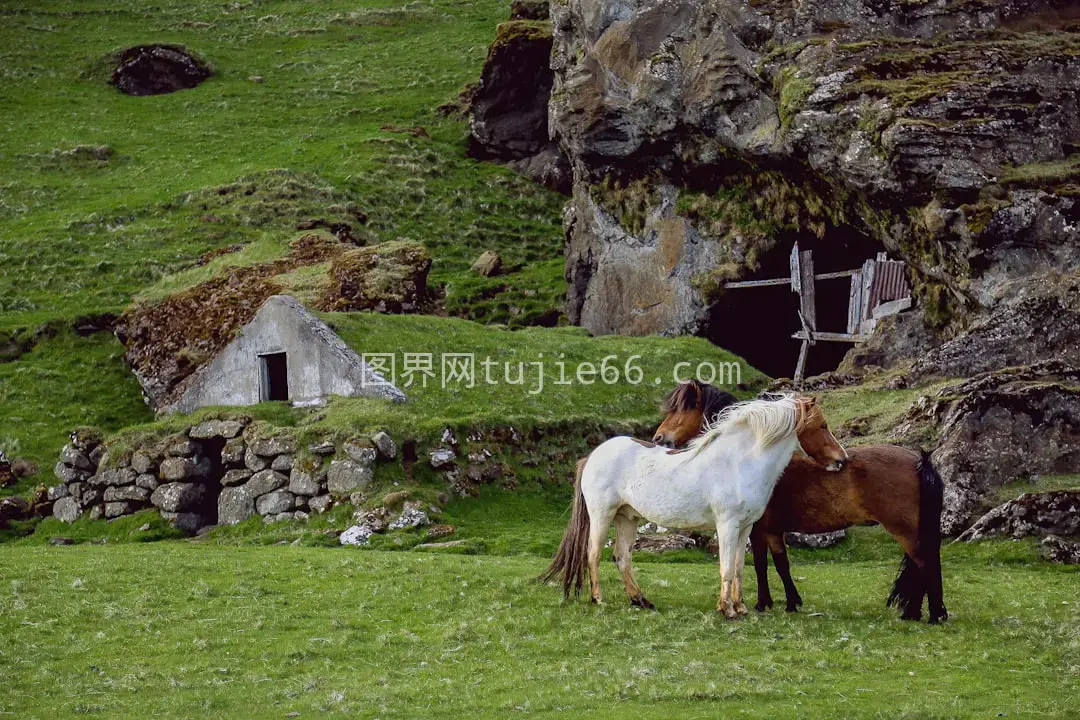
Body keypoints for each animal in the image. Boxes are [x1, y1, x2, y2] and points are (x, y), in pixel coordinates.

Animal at [540, 390, 842, 617]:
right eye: (822, 426)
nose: (842, 459)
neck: (740, 463)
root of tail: (592, 456)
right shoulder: (727, 525)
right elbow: (726, 567)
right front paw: (727, 610)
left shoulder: (745, 528)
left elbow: (739, 568)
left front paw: (741, 608)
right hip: (602, 516)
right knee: (593, 554)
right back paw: (598, 599)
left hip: (628, 518)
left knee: (622, 557)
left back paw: (641, 601)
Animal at [648, 382, 946, 626]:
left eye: (684, 408)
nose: (658, 438)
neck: (750, 459)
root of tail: (920, 461)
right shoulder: (772, 531)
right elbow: (781, 563)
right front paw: (791, 603)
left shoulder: (757, 529)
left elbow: (760, 564)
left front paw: (763, 603)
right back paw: (916, 613)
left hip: (904, 531)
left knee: (925, 564)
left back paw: (930, 615)